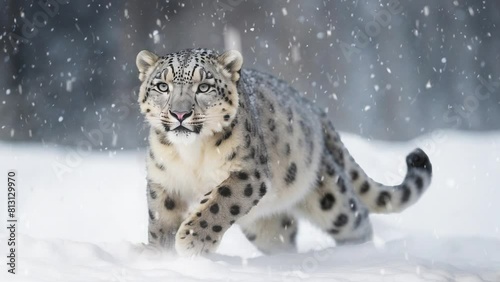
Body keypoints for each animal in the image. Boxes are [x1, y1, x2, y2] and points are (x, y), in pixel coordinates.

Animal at [135, 48, 432, 256]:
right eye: (162, 86)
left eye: (204, 86)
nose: (180, 113)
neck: (192, 155)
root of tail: (313, 109)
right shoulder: (164, 179)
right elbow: (160, 218)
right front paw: (158, 254)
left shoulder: (249, 173)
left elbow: (219, 202)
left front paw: (192, 241)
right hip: (265, 224)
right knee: (283, 236)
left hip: (330, 197)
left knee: (356, 218)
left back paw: (358, 254)